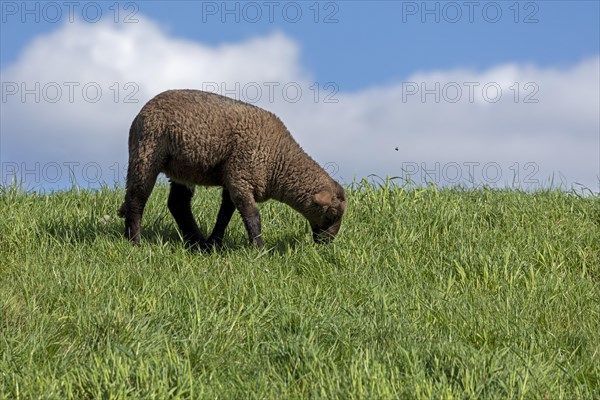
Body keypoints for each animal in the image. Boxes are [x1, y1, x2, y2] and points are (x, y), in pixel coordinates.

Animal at [118, 89, 346, 248]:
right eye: (333, 214)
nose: (326, 244)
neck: (277, 161)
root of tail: (141, 112)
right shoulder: (241, 176)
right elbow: (252, 215)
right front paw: (259, 249)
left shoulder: (233, 177)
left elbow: (225, 213)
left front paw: (215, 244)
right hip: (147, 152)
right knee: (137, 197)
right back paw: (135, 242)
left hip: (182, 168)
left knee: (178, 204)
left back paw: (198, 243)